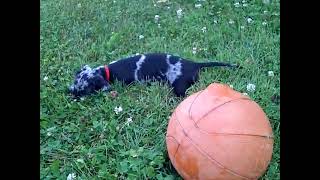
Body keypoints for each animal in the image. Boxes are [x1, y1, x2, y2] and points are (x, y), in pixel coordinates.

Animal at [69, 52, 240, 97]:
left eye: (83, 90)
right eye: (75, 80)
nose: (69, 92)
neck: (105, 72)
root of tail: (193, 64)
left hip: (179, 88)